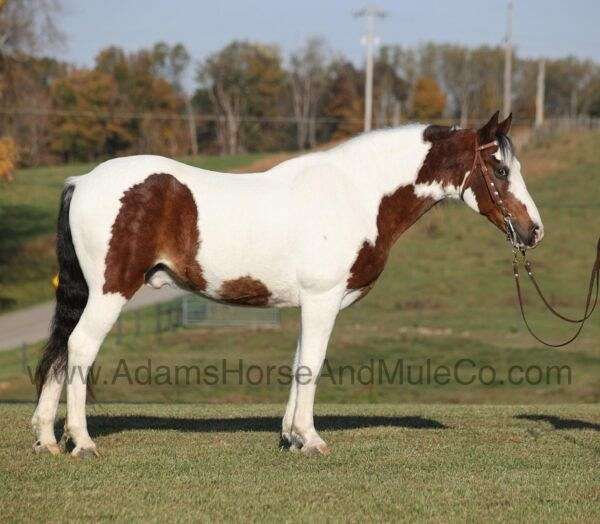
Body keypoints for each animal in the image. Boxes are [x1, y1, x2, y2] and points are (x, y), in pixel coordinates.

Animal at [32, 111, 544, 458]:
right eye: (501, 170)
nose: (534, 231)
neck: (354, 195)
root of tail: (83, 180)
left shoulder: (310, 304)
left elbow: (299, 362)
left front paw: (291, 436)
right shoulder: (323, 300)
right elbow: (312, 365)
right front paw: (311, 439)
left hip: (87, 294)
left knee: (61, 350)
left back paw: (47, 439)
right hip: (110, 292)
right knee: (79, 347)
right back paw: (82, 441)